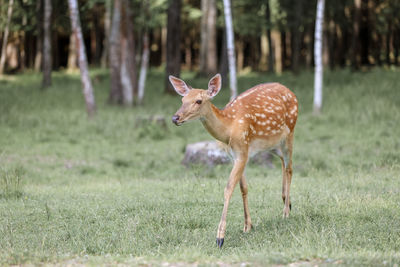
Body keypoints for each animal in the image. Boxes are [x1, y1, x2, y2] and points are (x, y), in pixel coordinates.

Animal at [169, 74, 296, 249]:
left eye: (199, 101)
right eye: (183, 100)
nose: (175, 118)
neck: (228, 130)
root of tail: (291, 92)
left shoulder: (242, 151)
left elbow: (228, 188)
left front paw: (220, 237)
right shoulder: (234, 155)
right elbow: (243, 188)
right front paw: (247, 225)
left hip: (290, 131)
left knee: (290, 168)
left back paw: (286, 212)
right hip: (272, 143)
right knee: (283, 162)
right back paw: (286, 202)